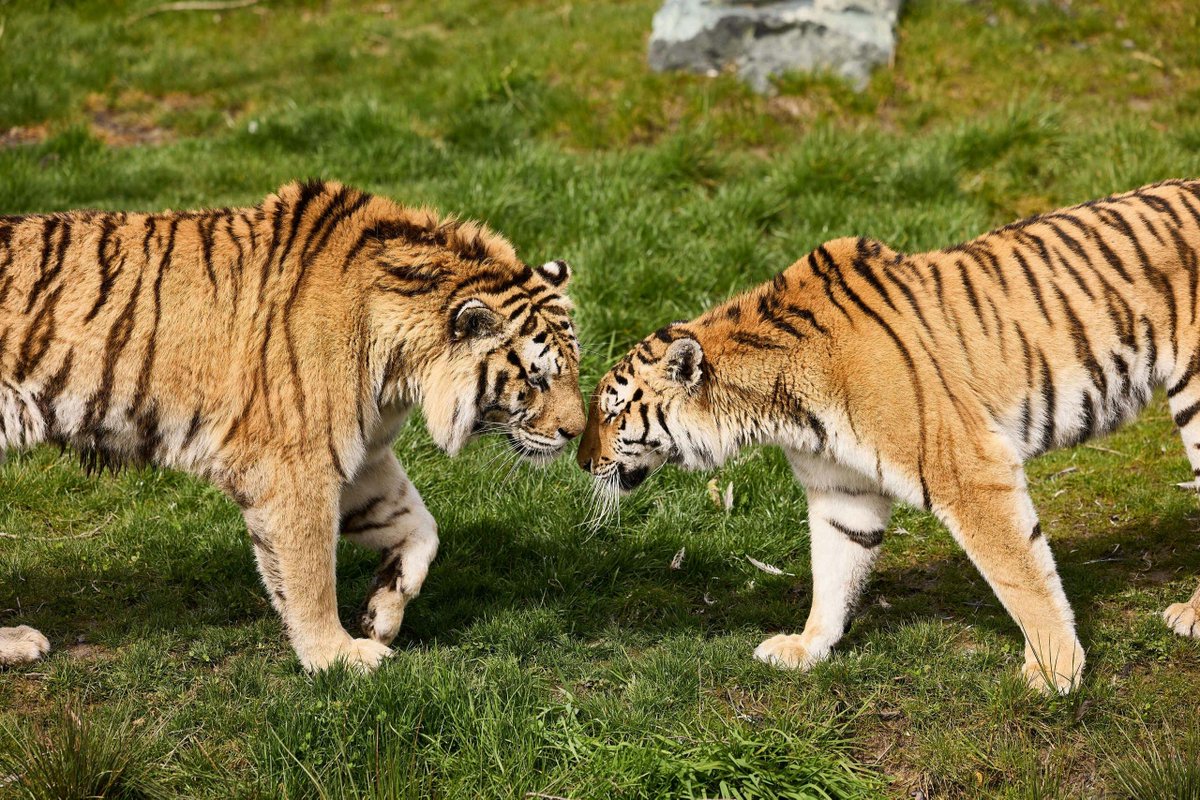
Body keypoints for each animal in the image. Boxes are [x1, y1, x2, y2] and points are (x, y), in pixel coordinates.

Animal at [0, 179, 585, 673]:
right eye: (536, 377)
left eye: (573, 366)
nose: (578, 434)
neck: (400, 367)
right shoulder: (297, 462)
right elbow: (310, 573)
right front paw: (339, 657)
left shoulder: (362, 453)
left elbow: (420, 525)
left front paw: (383, 613)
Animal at [577, 179, 1200, 693]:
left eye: (612, 413)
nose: (581, 462)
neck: (776, 405)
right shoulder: (841, 490)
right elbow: (833, 572)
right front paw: (806, 648)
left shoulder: (970, 470)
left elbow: (1019, 573)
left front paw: (1054, 670)